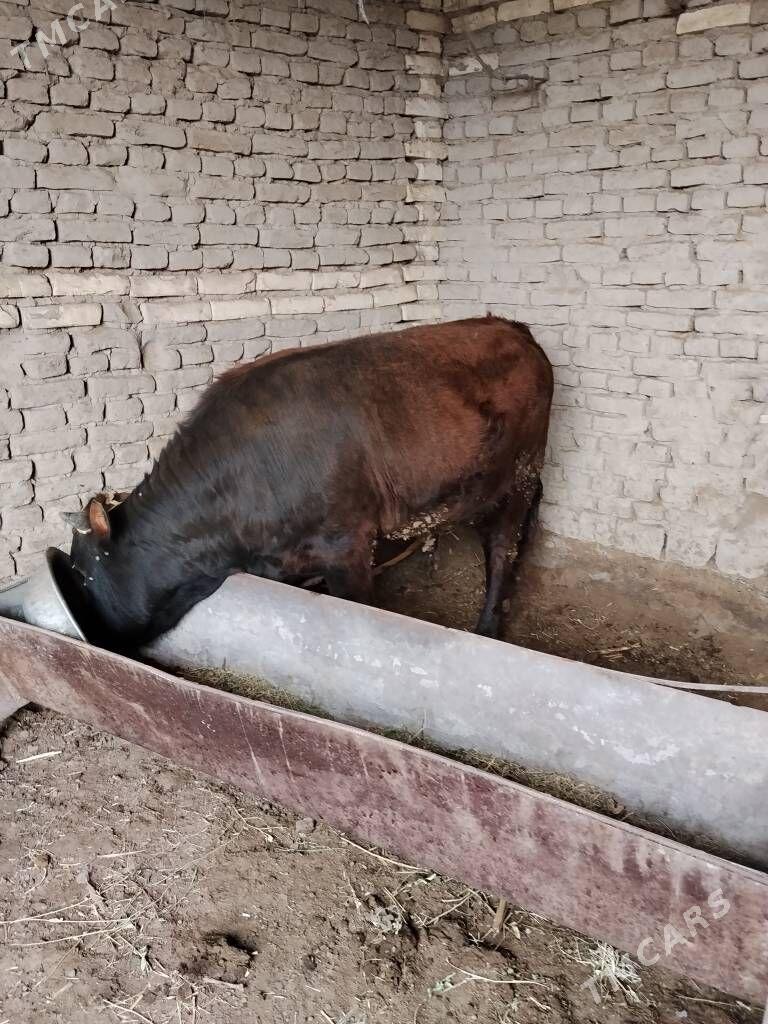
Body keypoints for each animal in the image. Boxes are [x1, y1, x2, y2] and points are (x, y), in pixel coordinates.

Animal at [57, 316, 553, 652]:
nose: (81, 630)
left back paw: (488, 628)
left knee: (502, 550)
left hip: (522, 473)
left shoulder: (347, 545)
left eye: (82, 575)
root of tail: (511, 327)